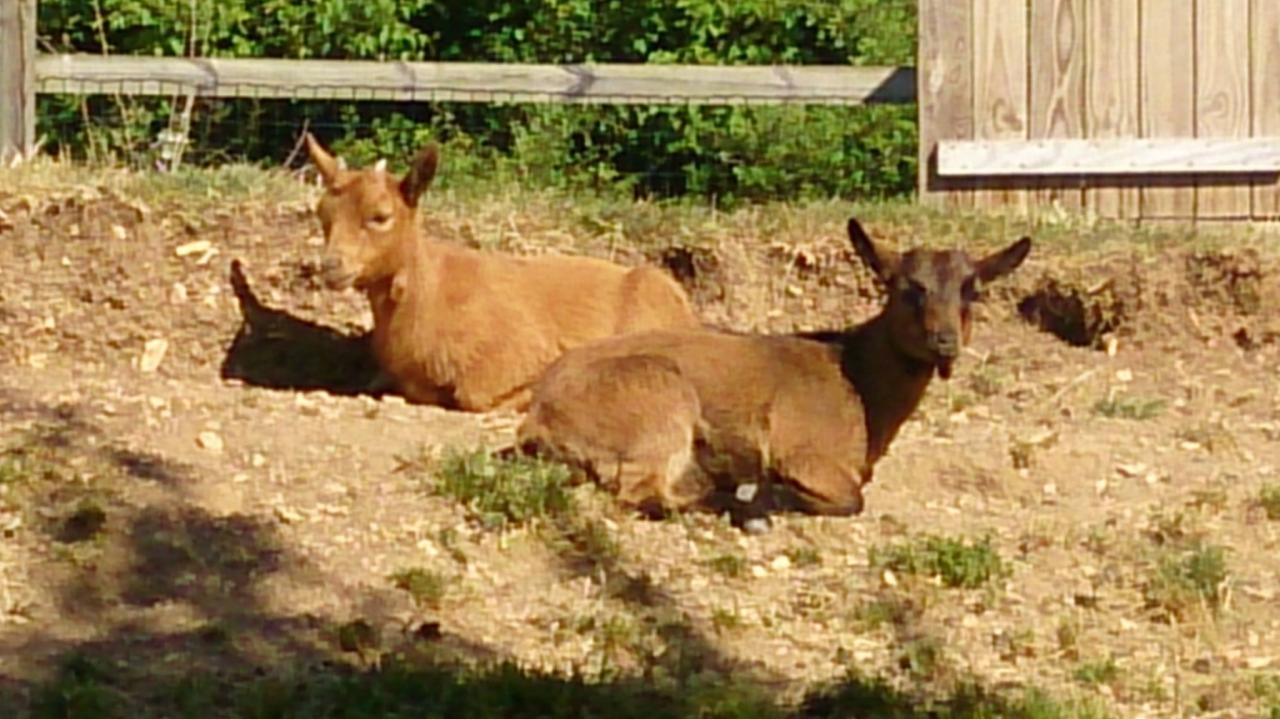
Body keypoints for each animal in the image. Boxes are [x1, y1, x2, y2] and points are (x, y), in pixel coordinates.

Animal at [302, 134, 701, 411]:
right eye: (323, 214)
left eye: (381, 216)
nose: (331, 265)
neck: (429, 298)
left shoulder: (510, 357)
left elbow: (478, 398)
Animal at [514, 217, 1024, 519]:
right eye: (907, 288)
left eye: (972, 290)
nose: (945, 342)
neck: (855, 377)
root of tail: (539, 416)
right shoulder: (807, 453)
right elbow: (852, 498)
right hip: (659, 401)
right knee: (642, 491)